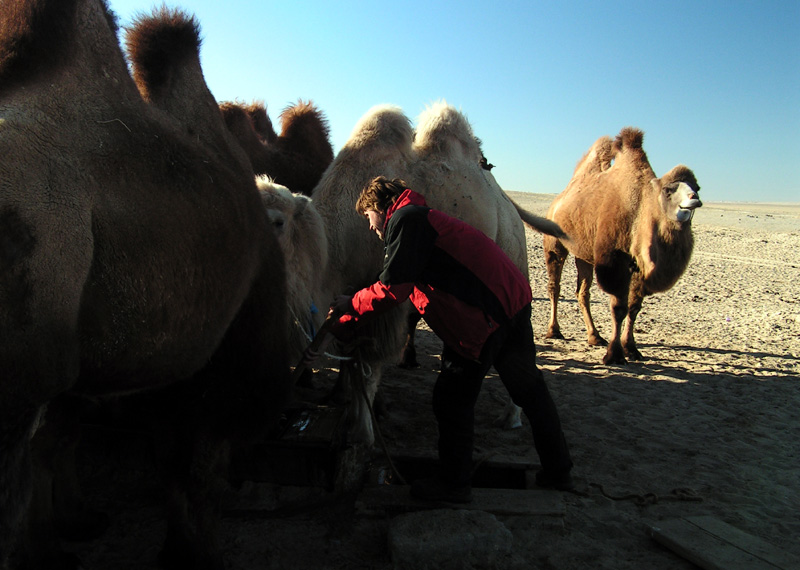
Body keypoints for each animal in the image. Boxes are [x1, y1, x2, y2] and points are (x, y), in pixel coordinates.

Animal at [544, 126, 700, 362]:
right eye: (668, 190)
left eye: (697, 187)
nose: (694, 199)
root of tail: (558, 201)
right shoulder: (615, 260)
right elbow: (619, 308)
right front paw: (614, 354)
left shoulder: (639, 265)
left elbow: (634, 307)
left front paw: (631, 348)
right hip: (555, 244)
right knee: (555, 285)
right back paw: (554, 331)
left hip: (584, 253)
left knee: (583, 292)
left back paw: (594, 336)